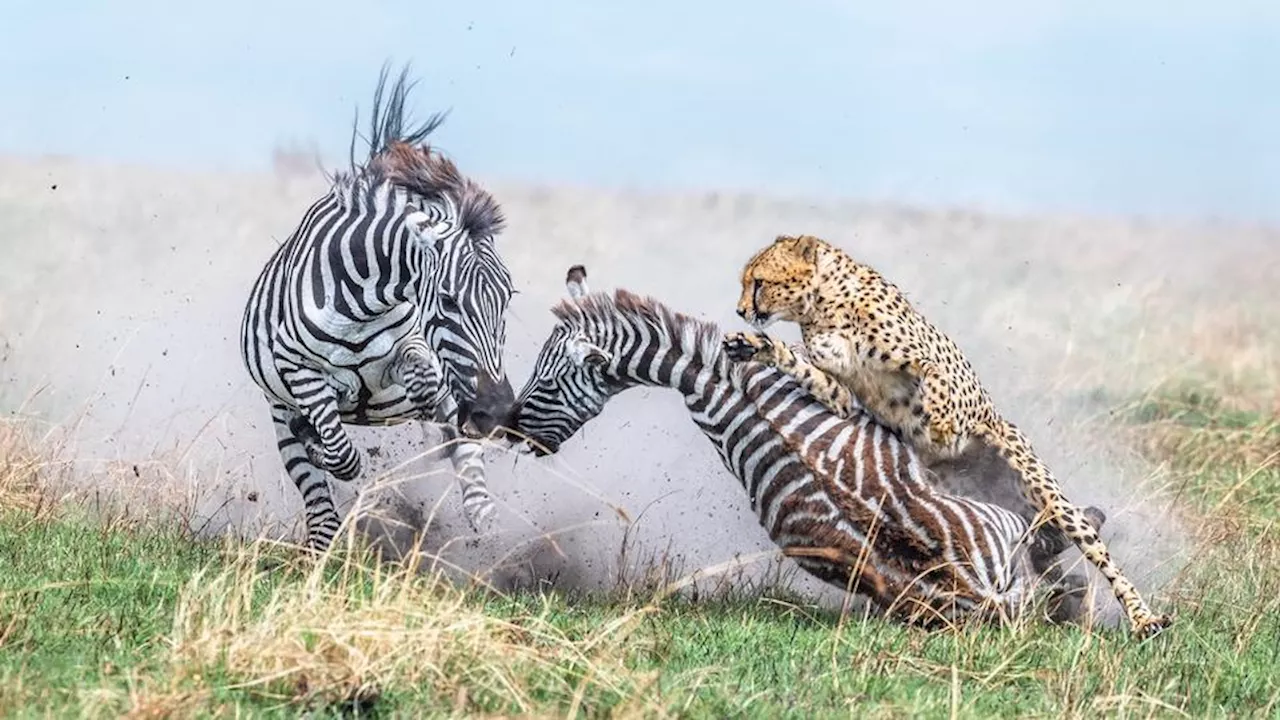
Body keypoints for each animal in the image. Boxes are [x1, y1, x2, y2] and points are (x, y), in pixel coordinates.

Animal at [240, 67, 514, 548]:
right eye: (448, 300)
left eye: (508, 298)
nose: (497, 410)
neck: (359, 305)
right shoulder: (300, 372)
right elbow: (341, 454)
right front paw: (320, 440)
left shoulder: (413, 348)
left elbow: (424, 380)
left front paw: (433, 415)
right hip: (279, 416)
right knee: (319, 503)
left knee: (474, 485)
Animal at [514, 266, 1105, 625]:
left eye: (546, 381)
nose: (512, 431)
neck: (719, 381)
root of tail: (967, 586)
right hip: (994, 547)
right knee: (1044, 562)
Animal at [721, 233, 1172, 635]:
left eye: (758, 281)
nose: (742, 311)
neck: (823, 305)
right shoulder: (841, 394)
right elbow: (801, 365)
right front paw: (753, 346)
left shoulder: (940, 370)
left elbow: (935, 383)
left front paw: (939, 427)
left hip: (1047, 495)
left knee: (1099, 556)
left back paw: (1143, 619)